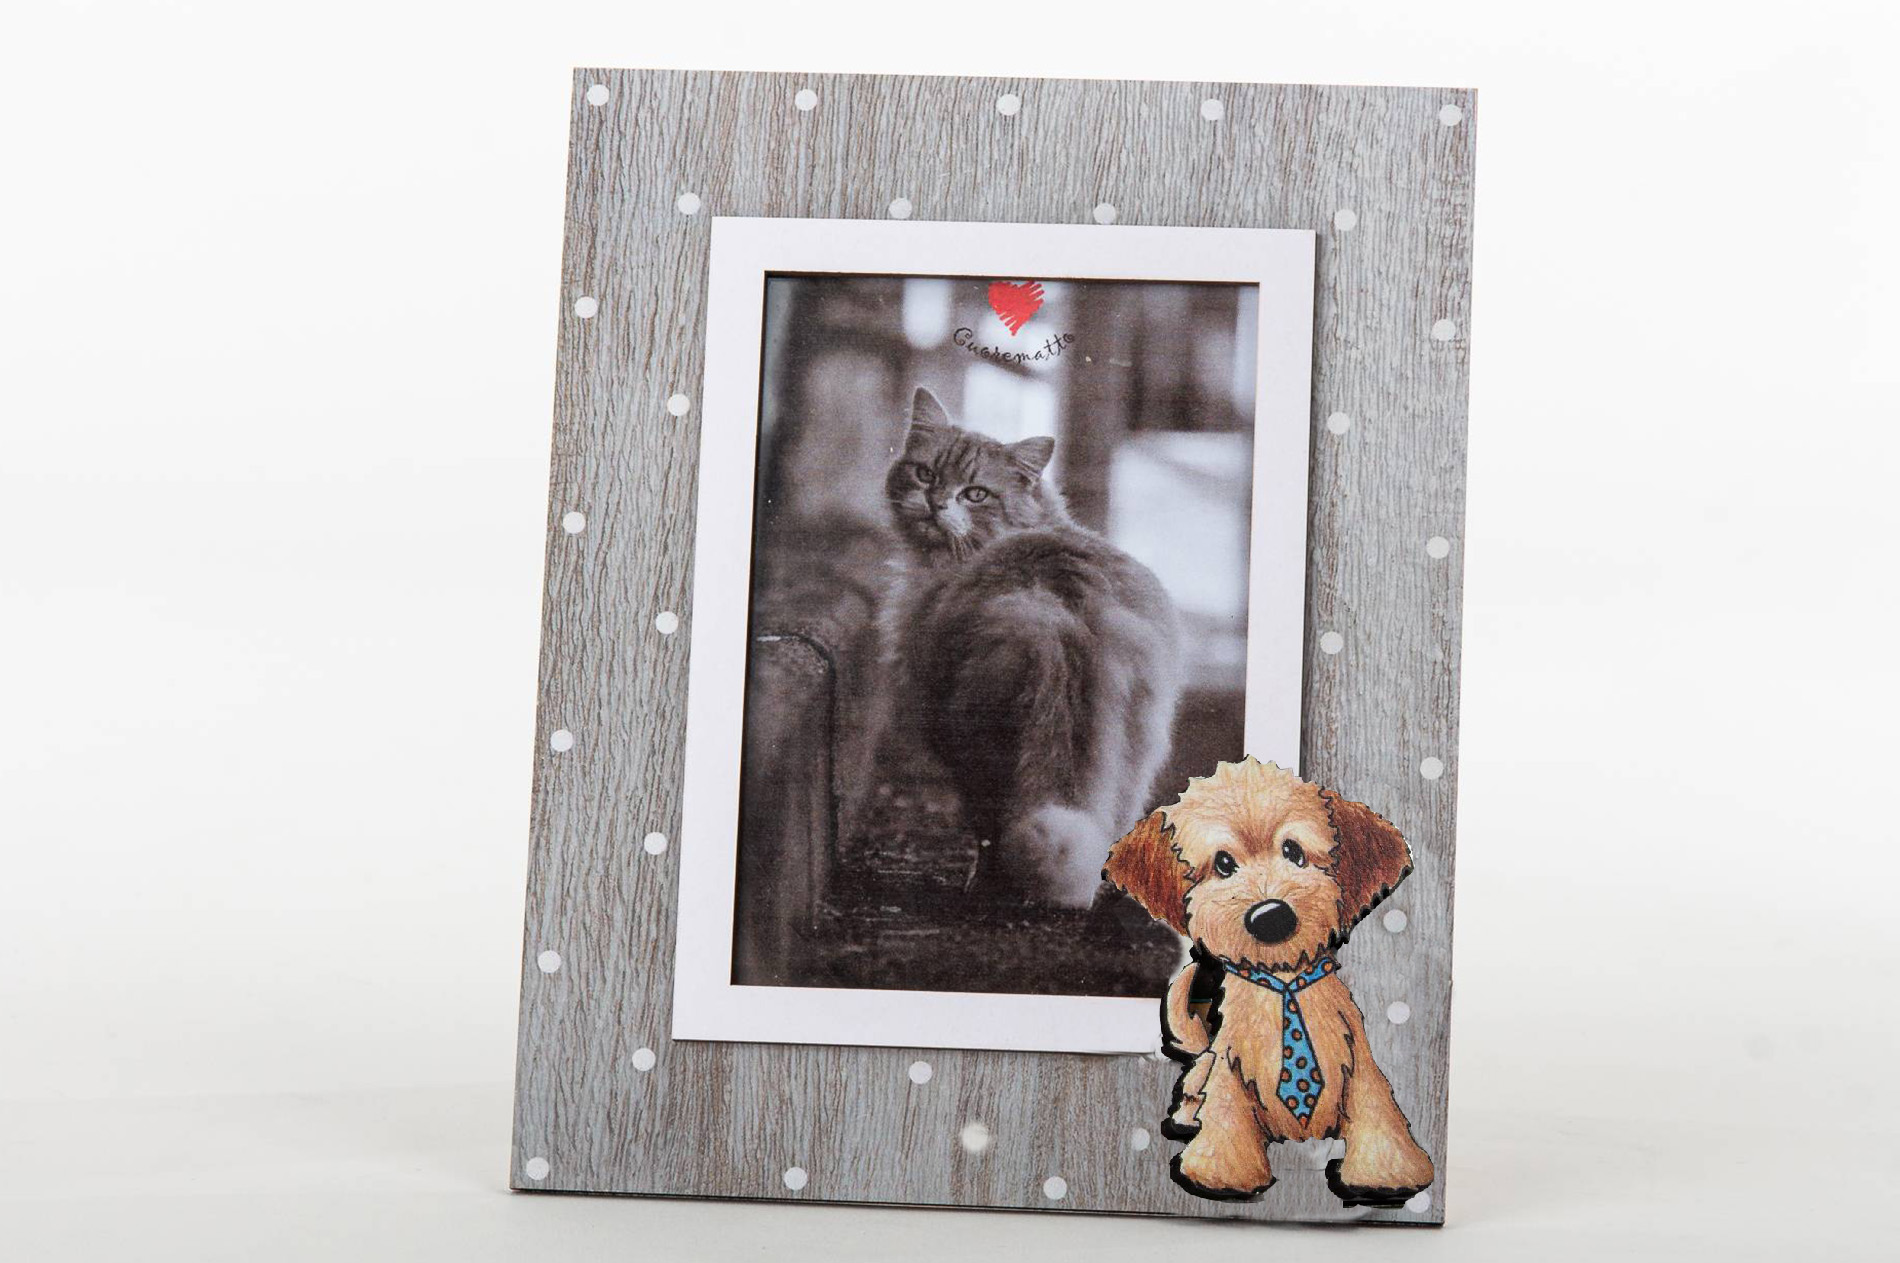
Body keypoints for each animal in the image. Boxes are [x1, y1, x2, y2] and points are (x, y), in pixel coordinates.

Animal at [875, 386, 1183, 907]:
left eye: (975, 494)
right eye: (926, 474)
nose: (935, 502)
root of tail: (1065, 619)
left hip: (971, 741)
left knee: (990, 827)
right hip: (1139, 748)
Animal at [1102, 757, 1434, 1205]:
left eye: (1293, 851)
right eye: (1224, 863)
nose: (1271, 916)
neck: (1284, 987)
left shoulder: (1361, 1070)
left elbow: (1379, 1114)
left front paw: (1386, 1173)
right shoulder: (1229, 1074)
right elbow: (1225, 1121)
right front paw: (1222, 1173)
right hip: (1204, 1065)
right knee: (1194, 1083)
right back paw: (1187, 1115)